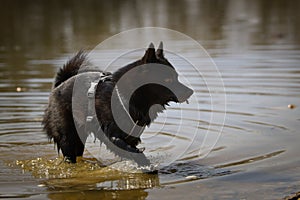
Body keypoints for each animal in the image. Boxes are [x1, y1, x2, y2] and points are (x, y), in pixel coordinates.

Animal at [42, 42, 192, 169]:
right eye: (168, 80)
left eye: (176, 77)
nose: (191, 91)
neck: (130, 96)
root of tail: (59, 85)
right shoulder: (112, 136)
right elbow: (134, 152)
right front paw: (146, 165)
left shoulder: (130, 138)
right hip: (67, 137)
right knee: (68, 154)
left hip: (79, 139)